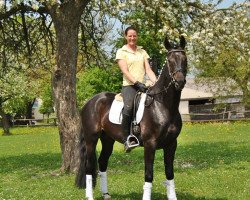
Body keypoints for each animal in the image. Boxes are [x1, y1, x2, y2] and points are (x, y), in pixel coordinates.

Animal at [76, 36, 188, 200]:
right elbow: (149, 175)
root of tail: (90, 102)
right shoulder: (150, 144)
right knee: (89, 166)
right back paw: (90, 196)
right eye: (169, 60)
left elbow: (169, 173)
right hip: (91, 138)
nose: (179, 82)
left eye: (185, 59)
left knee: (102, 162)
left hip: (107, 139)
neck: (163, 106)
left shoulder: (171, 144)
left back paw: (106, 194)